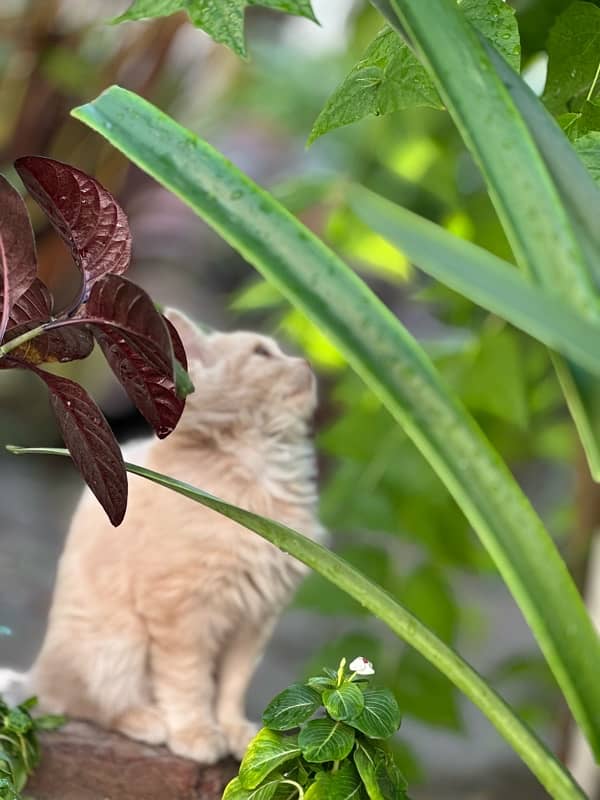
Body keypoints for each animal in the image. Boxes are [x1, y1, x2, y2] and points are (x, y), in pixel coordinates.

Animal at [8, 310, 324, 764]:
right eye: (262, 353)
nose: (308, 364)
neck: (259, 472)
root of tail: (36, 674)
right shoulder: (180, 611)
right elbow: (189, 683)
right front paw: (196, 734)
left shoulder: (254, 620)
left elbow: (231, 687)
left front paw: (236, 732)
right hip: (117, 644)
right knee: (85, 705)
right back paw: (148, 721)